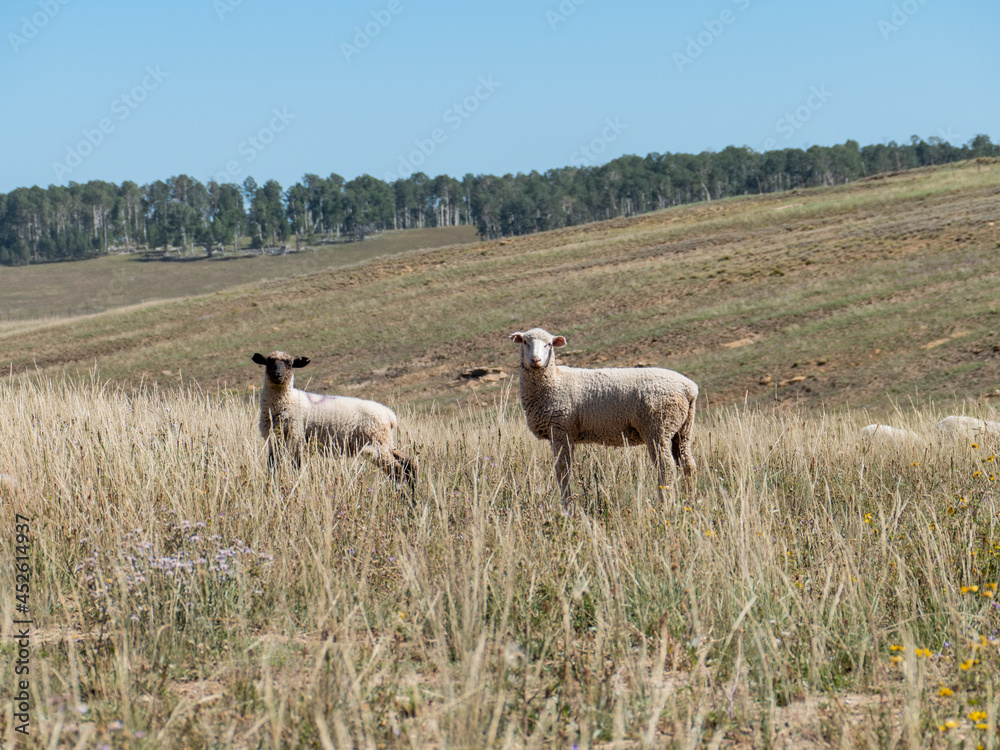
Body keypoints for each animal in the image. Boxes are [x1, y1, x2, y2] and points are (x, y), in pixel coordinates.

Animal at [251, 351, 415, 483]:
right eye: (269, 362)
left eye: (290, 364)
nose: (277, 375)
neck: (287, 401)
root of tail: (390, 415)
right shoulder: (274, 441)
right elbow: (272, 467)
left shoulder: (296, 438)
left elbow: (296, 467)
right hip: (386, 443)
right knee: (408, 464)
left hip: (378, 442)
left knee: (398, 470)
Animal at [509, 327, 698, 505]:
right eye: (525, 342)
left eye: (548, 344)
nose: (536, 360)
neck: (554, 381)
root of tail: (688, 388)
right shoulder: (564, 433)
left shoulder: (561, 429)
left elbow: (562, 470)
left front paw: (566, 505)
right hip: (682, 429)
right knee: (688, 465)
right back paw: (690, 501)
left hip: (658, 427)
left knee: (666, 467)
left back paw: (665, 503)